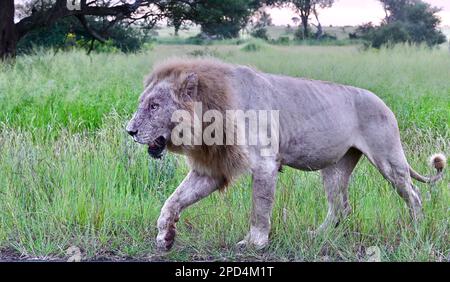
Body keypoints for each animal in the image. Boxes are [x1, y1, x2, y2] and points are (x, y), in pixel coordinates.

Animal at [126, 57, 446, 251]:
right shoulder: (212, 170)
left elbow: (259, 207)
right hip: (335, 167)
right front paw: (164, 236)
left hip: (388, 158)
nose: (129, 131)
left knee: (413, 194)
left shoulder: (265, 163)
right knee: (340, 206)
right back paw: (319, 235)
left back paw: (417, 230)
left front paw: (254, 243)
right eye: (144, 103)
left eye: (154, 106)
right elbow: (173, 200)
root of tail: (384, 103)